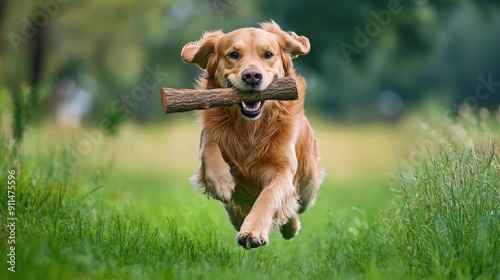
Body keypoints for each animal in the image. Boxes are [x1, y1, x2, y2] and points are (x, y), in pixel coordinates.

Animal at [182, 21, 322, 249]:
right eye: (233, 54)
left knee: (294, 205)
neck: (250, 128)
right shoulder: (208, 138)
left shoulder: (284, 169)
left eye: (268, 54)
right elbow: (209, 148)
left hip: (308, 186)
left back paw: (289, 227)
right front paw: (222, 182)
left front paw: (253, 231)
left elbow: (269, 196)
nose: (252, 76)